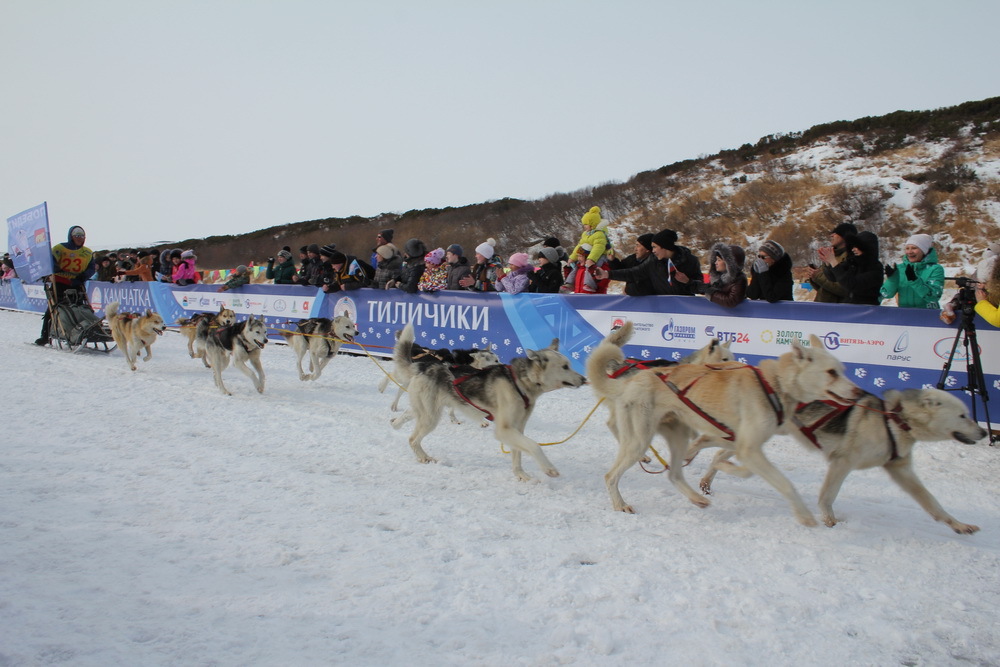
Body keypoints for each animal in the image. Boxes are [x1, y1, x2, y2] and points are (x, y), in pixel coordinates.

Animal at [386, 322, 584, 480]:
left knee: (408, 415)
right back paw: (423, 456)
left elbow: (518, 453)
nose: (584, 379)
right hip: (430, 418)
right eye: (565, 367)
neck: (520, 383)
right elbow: (534, 446)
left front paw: (521, 475)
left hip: (427, 410)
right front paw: (548, 468)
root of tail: (424, 365)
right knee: (413, 439)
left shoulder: (516, 428)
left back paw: (395, 423)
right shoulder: (504, 430)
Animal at [696, 388, 984, 536]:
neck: (894, 422)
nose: (983, 433)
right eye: (963, 415)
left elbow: (933, 504)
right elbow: (828, 496)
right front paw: (830, 522)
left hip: (746, 440)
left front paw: (959, 525)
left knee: (718, 454)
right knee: (707, 442)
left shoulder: (901, 470)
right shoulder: (842, 462)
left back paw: (707, 480)